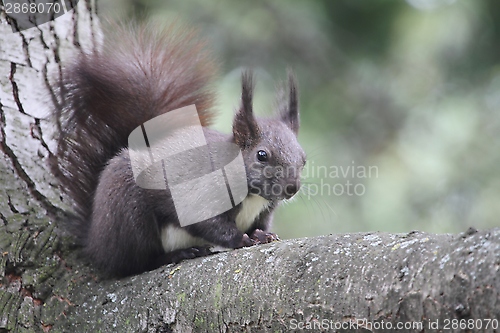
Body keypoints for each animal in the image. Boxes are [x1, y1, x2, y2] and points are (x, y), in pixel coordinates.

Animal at [52, 23, 306, 276]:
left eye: (304, 159)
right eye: (262, 155)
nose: (292, 188)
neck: (254, 196)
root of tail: (94, 238)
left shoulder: (264, 212)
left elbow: (258, 226)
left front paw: (263, 235)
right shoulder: (203, 196)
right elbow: (210, 224)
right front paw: (241, 239)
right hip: (129, 215)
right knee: (136, 263)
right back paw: (176, 254)